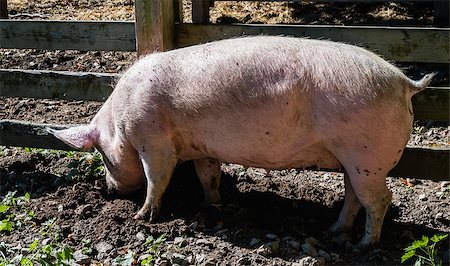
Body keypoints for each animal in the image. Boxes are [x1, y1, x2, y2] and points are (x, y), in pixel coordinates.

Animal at [46, 36, 436, 250]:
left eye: (101, 154)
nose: (109, 191)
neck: (120, 124)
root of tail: (405, 83)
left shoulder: (154, 143)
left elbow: (158, 180)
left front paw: (141, 218)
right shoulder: (202, 149)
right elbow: (208, 177)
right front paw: (215, 207)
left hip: (366, 157)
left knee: (380, 199)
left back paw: (364, 246)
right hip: (354, 162)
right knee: (354, 197)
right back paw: (332, 233)